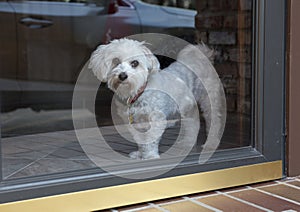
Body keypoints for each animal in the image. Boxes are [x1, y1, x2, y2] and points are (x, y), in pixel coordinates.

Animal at [88, 38, 224, 159]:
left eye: (135, 63)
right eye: (116, 61)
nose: (122, 76)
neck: (139, 93)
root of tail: (202, 56)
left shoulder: (156, 119)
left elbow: (151, 139)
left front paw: (150, 156)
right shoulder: (134, 123)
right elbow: (140, 139)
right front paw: (140, 154)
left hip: (209, 99)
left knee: (215, 120)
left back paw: (211, 143)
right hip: (188, 105)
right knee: (192, 122)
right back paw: (188, 142)